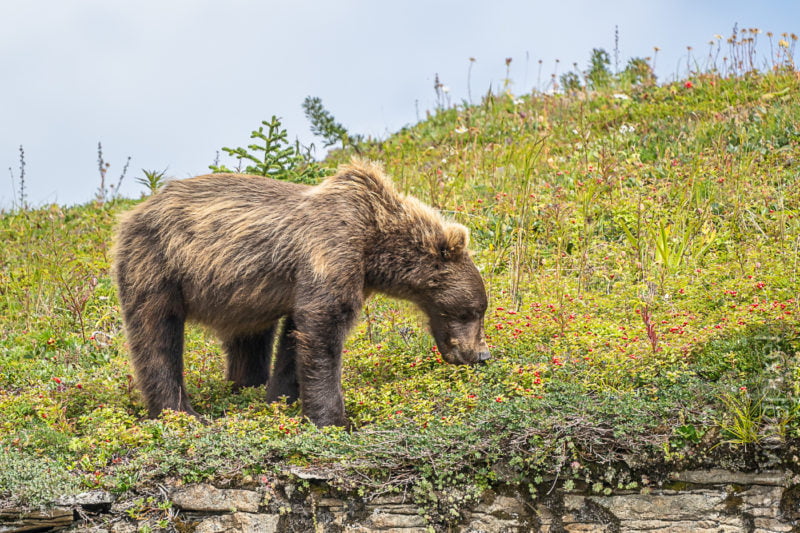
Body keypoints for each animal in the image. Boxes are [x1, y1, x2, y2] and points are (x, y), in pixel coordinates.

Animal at [111, 160, 488, 426]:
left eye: (480, 310)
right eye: (470, 311)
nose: (480, 354)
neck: (375, 245)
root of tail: (133, 212)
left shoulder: (310, 279)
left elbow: (295, 337)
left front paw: (281, 398)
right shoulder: (331, 251)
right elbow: (323, 328)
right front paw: (333, 419)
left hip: (242, 297)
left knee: (251, 340)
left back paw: (246, 386)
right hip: (157, 263)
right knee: (156, 335)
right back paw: (180, 413)